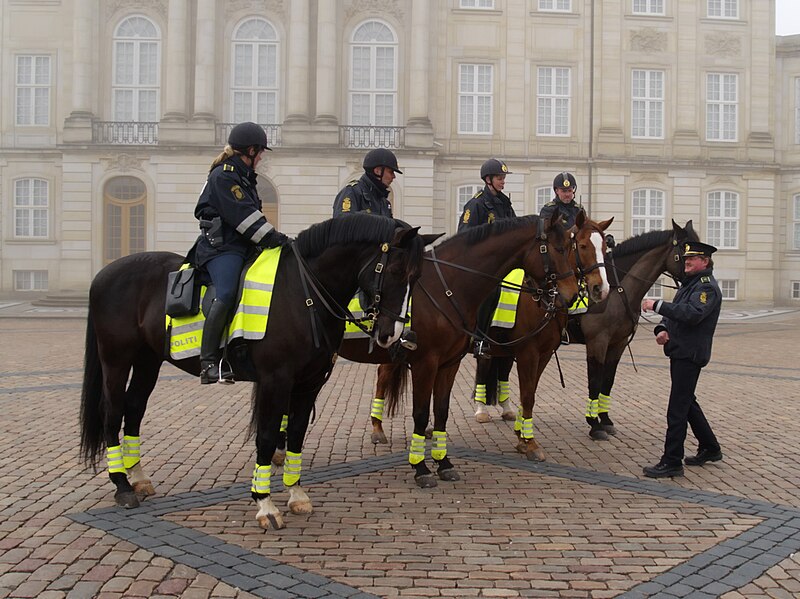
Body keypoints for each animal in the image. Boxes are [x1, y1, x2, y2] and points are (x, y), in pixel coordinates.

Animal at [81, 212, 438, 528]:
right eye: (395, 269)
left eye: (417, 277)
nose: (394, 333)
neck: (304, 293)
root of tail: (102, 274)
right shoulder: (274, 381)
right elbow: (266, 437)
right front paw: (265, 504)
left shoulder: (308, 383)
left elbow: (296, 434)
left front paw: (296, 494)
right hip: (116, 360)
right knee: (112, 412)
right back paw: (122, 485)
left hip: (147, 361)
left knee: (134, 409)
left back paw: (138, 477)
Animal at [468, 214, 612, 460]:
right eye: (583, 246)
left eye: (605, 247)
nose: (600, 289)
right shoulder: (528, 353)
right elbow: (527, 395)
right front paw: (530, 442)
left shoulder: (543, 354)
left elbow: (531, 393)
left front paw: (522, 437)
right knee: (482, 370)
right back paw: (480, 411)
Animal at [576, 219, 700, 440]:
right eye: (686, 253)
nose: (707, 272)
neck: (616, 291)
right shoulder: (597, 342)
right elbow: (595, 381)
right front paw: (594, 424)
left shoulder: (618, 343)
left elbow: (608, 380)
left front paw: (605, 420)